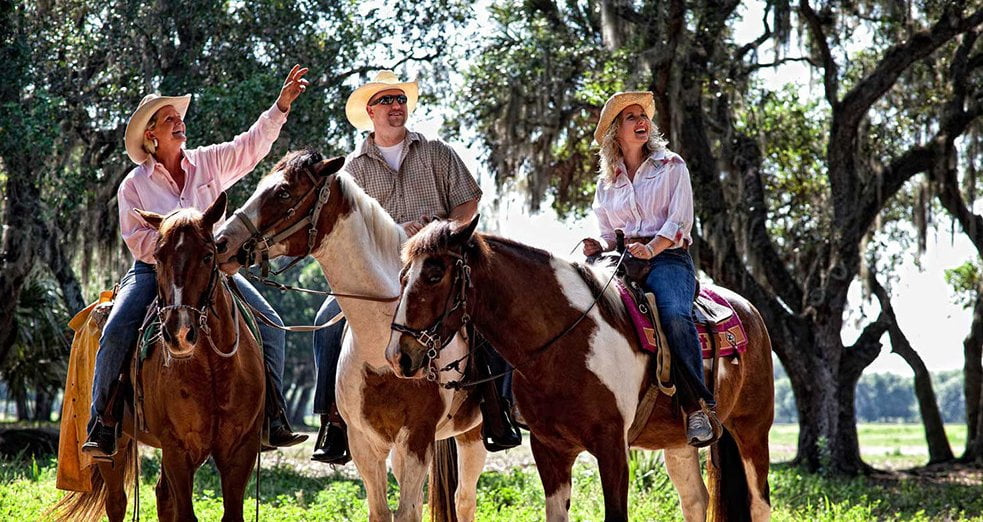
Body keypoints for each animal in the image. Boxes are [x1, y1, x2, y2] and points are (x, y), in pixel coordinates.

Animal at [54, 192, 266, 520]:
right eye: (157, 257)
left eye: (209, 255)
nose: (179, 333)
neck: (213, 370)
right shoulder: (178, 448)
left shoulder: (240, 452)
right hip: (115, 446)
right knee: (117, 501)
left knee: (163, 497)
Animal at [217, 150, 490, 520]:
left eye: (284, 192)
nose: (221, 242)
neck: (382, 347)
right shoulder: (365, 444)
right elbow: (382, 511)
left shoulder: (417, 438)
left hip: (472, 434)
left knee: (464, 499)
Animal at [392, 218, 776, 520]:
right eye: (402, 276)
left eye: (435, 274)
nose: (400, 355)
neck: (565, 342)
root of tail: (749, 311)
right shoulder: (550, 449)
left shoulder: (612, 446)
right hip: (679, 442)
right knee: (695, 501)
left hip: (752, 430)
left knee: (759, 504)